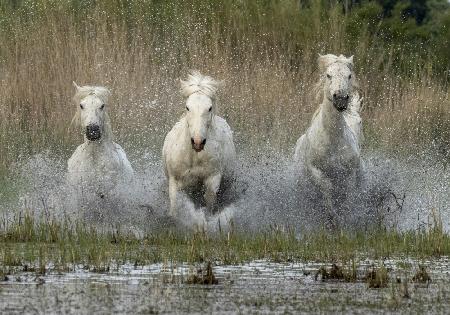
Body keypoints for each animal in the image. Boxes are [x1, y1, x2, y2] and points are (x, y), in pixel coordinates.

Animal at [163, 71, 237, 218]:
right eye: (187, 107)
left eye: (209, 108)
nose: (198, 142)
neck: (194, 157)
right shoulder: (174, 181)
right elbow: (175, 207)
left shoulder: (212, 180)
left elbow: (209, 202)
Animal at [296, 54, 366, 227]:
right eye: (328, 75)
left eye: (349, 75)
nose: (340, 99)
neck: (333, 141)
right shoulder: (316, 170)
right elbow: (327, 188)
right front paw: (332, 220)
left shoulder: (350, 174)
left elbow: (347, 198)